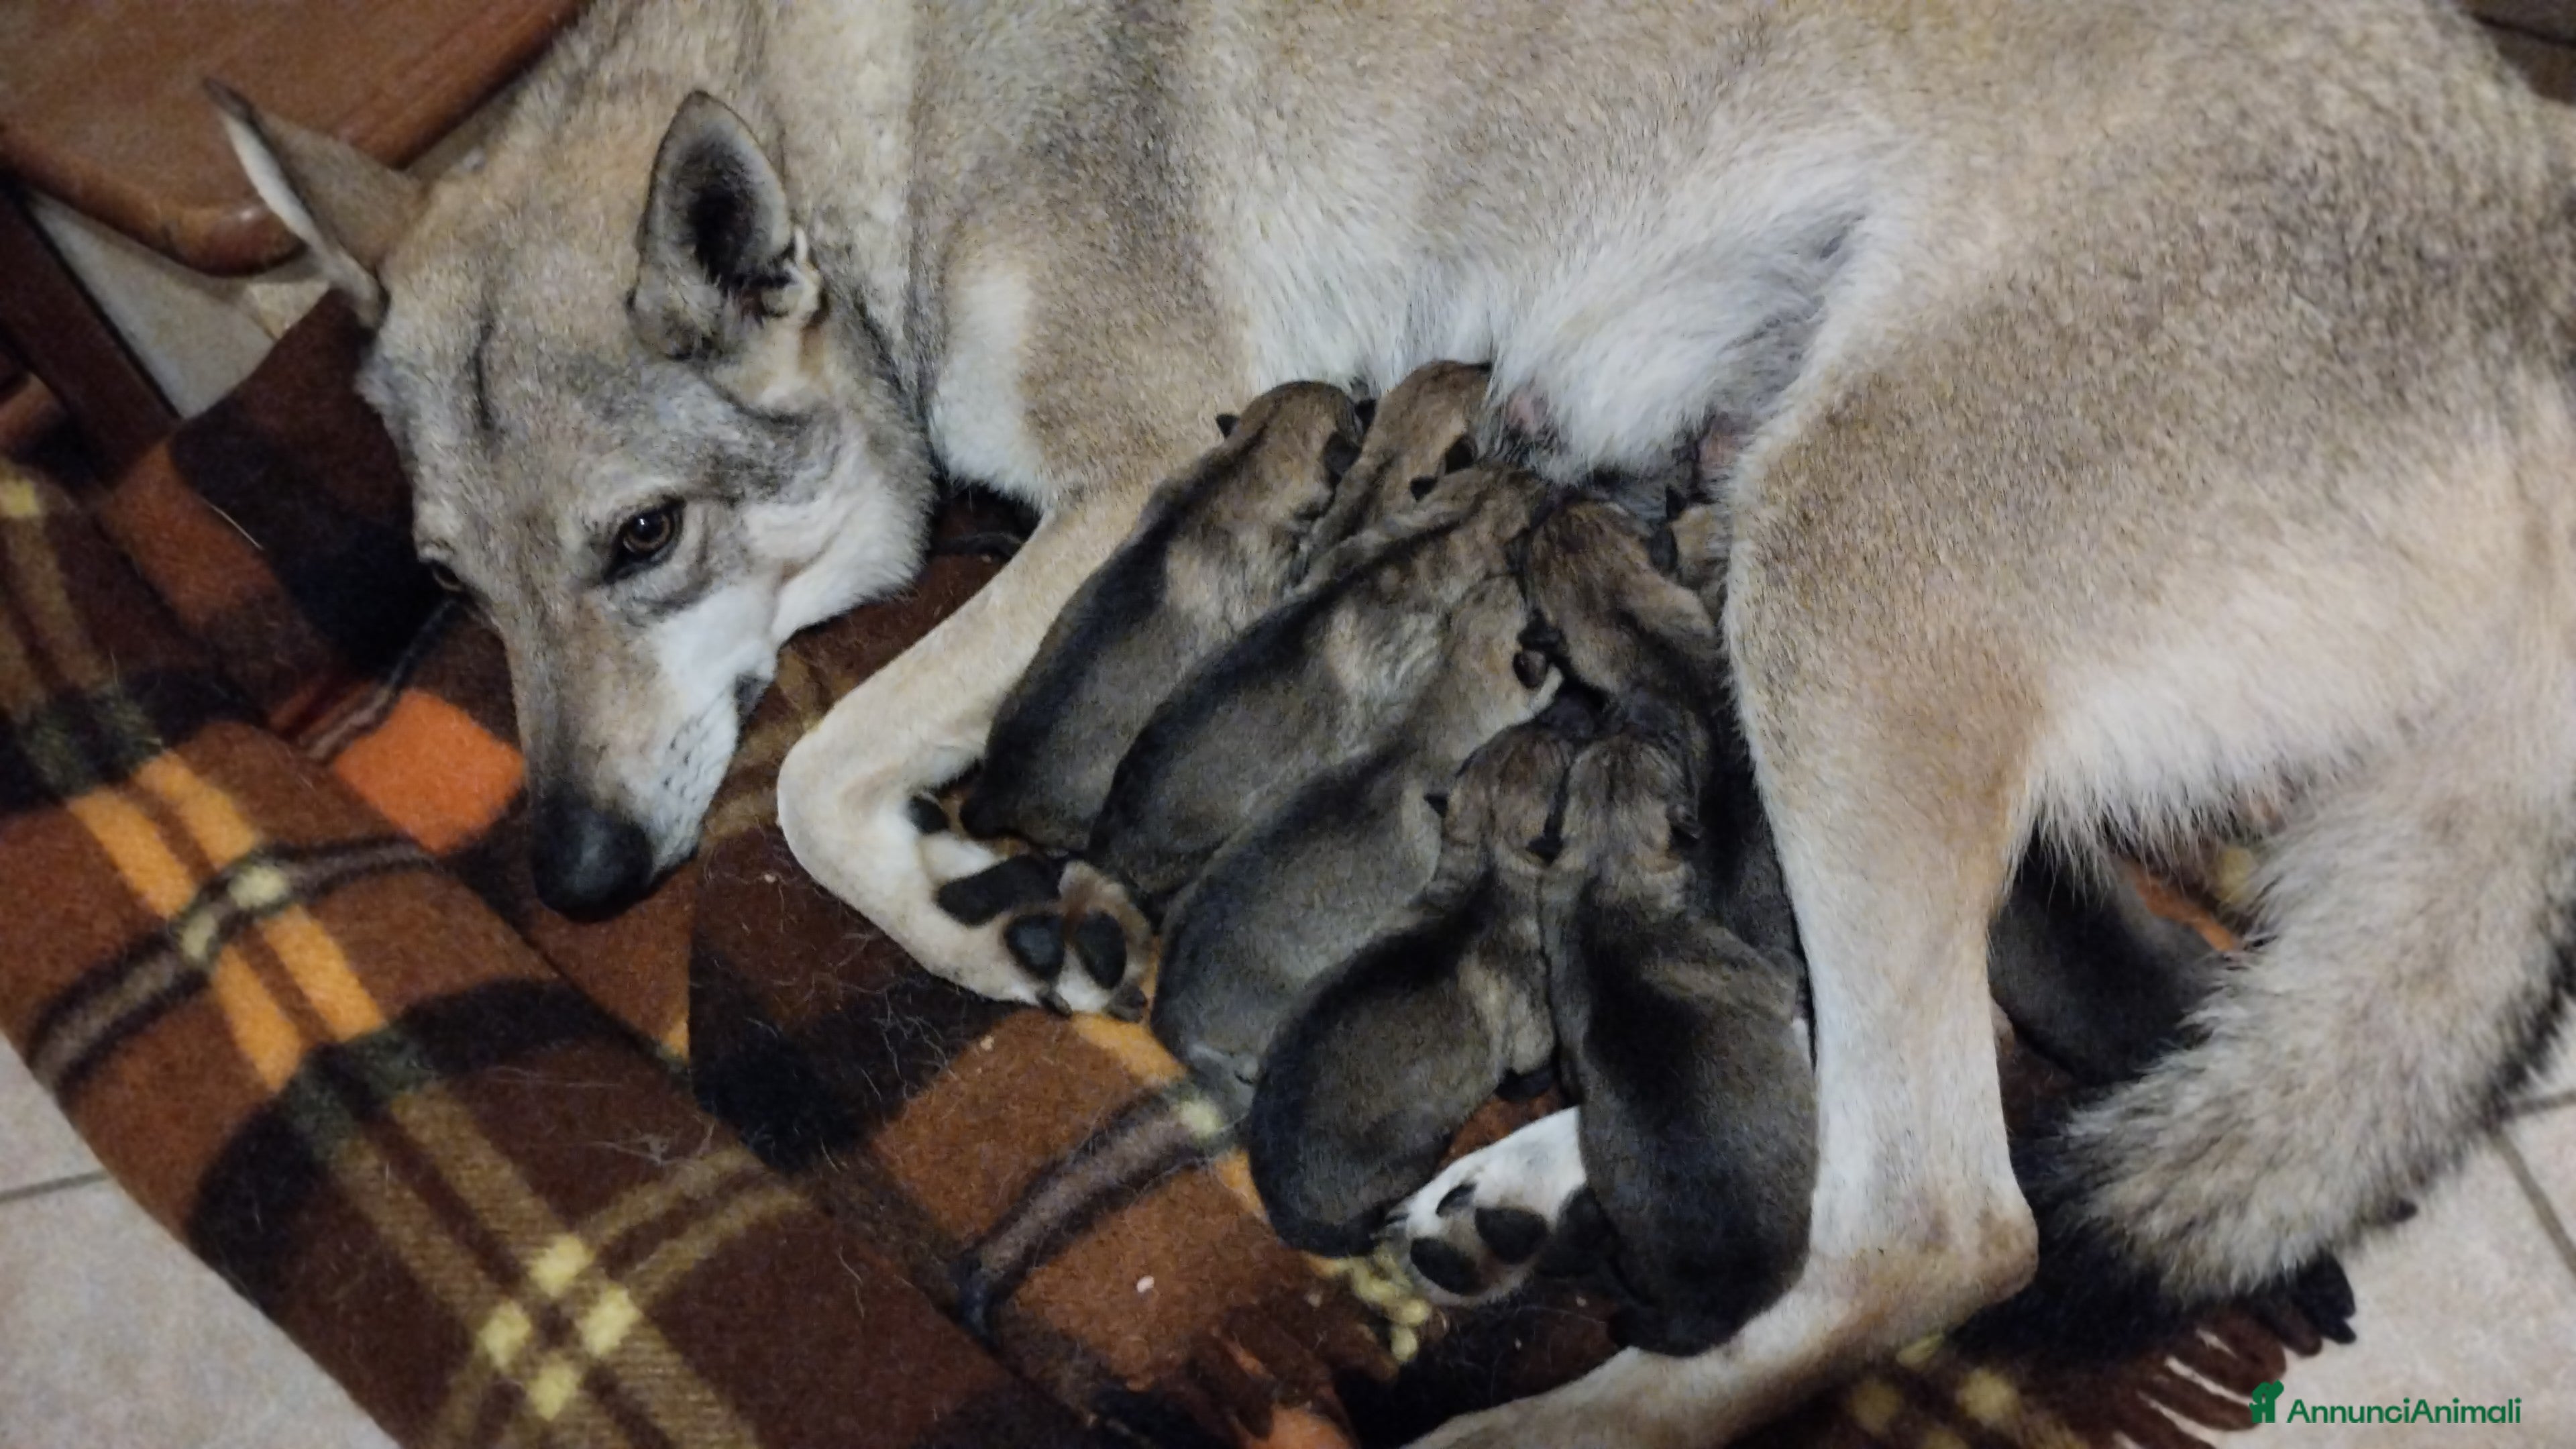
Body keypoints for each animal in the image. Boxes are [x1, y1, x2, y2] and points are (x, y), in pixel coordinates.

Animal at [222, 2, 2576, 1443]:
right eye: (459, 588)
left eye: (640, 539)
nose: (575, 880)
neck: (894, 116)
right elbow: (819, 768)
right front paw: (990, 902)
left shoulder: (1132, 473)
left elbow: (806, 774)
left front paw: (986, 915)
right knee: (1835, 1121)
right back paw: (1516, 1204)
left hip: (1835, 589)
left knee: (1940, 1226)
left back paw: (1553, 1415)